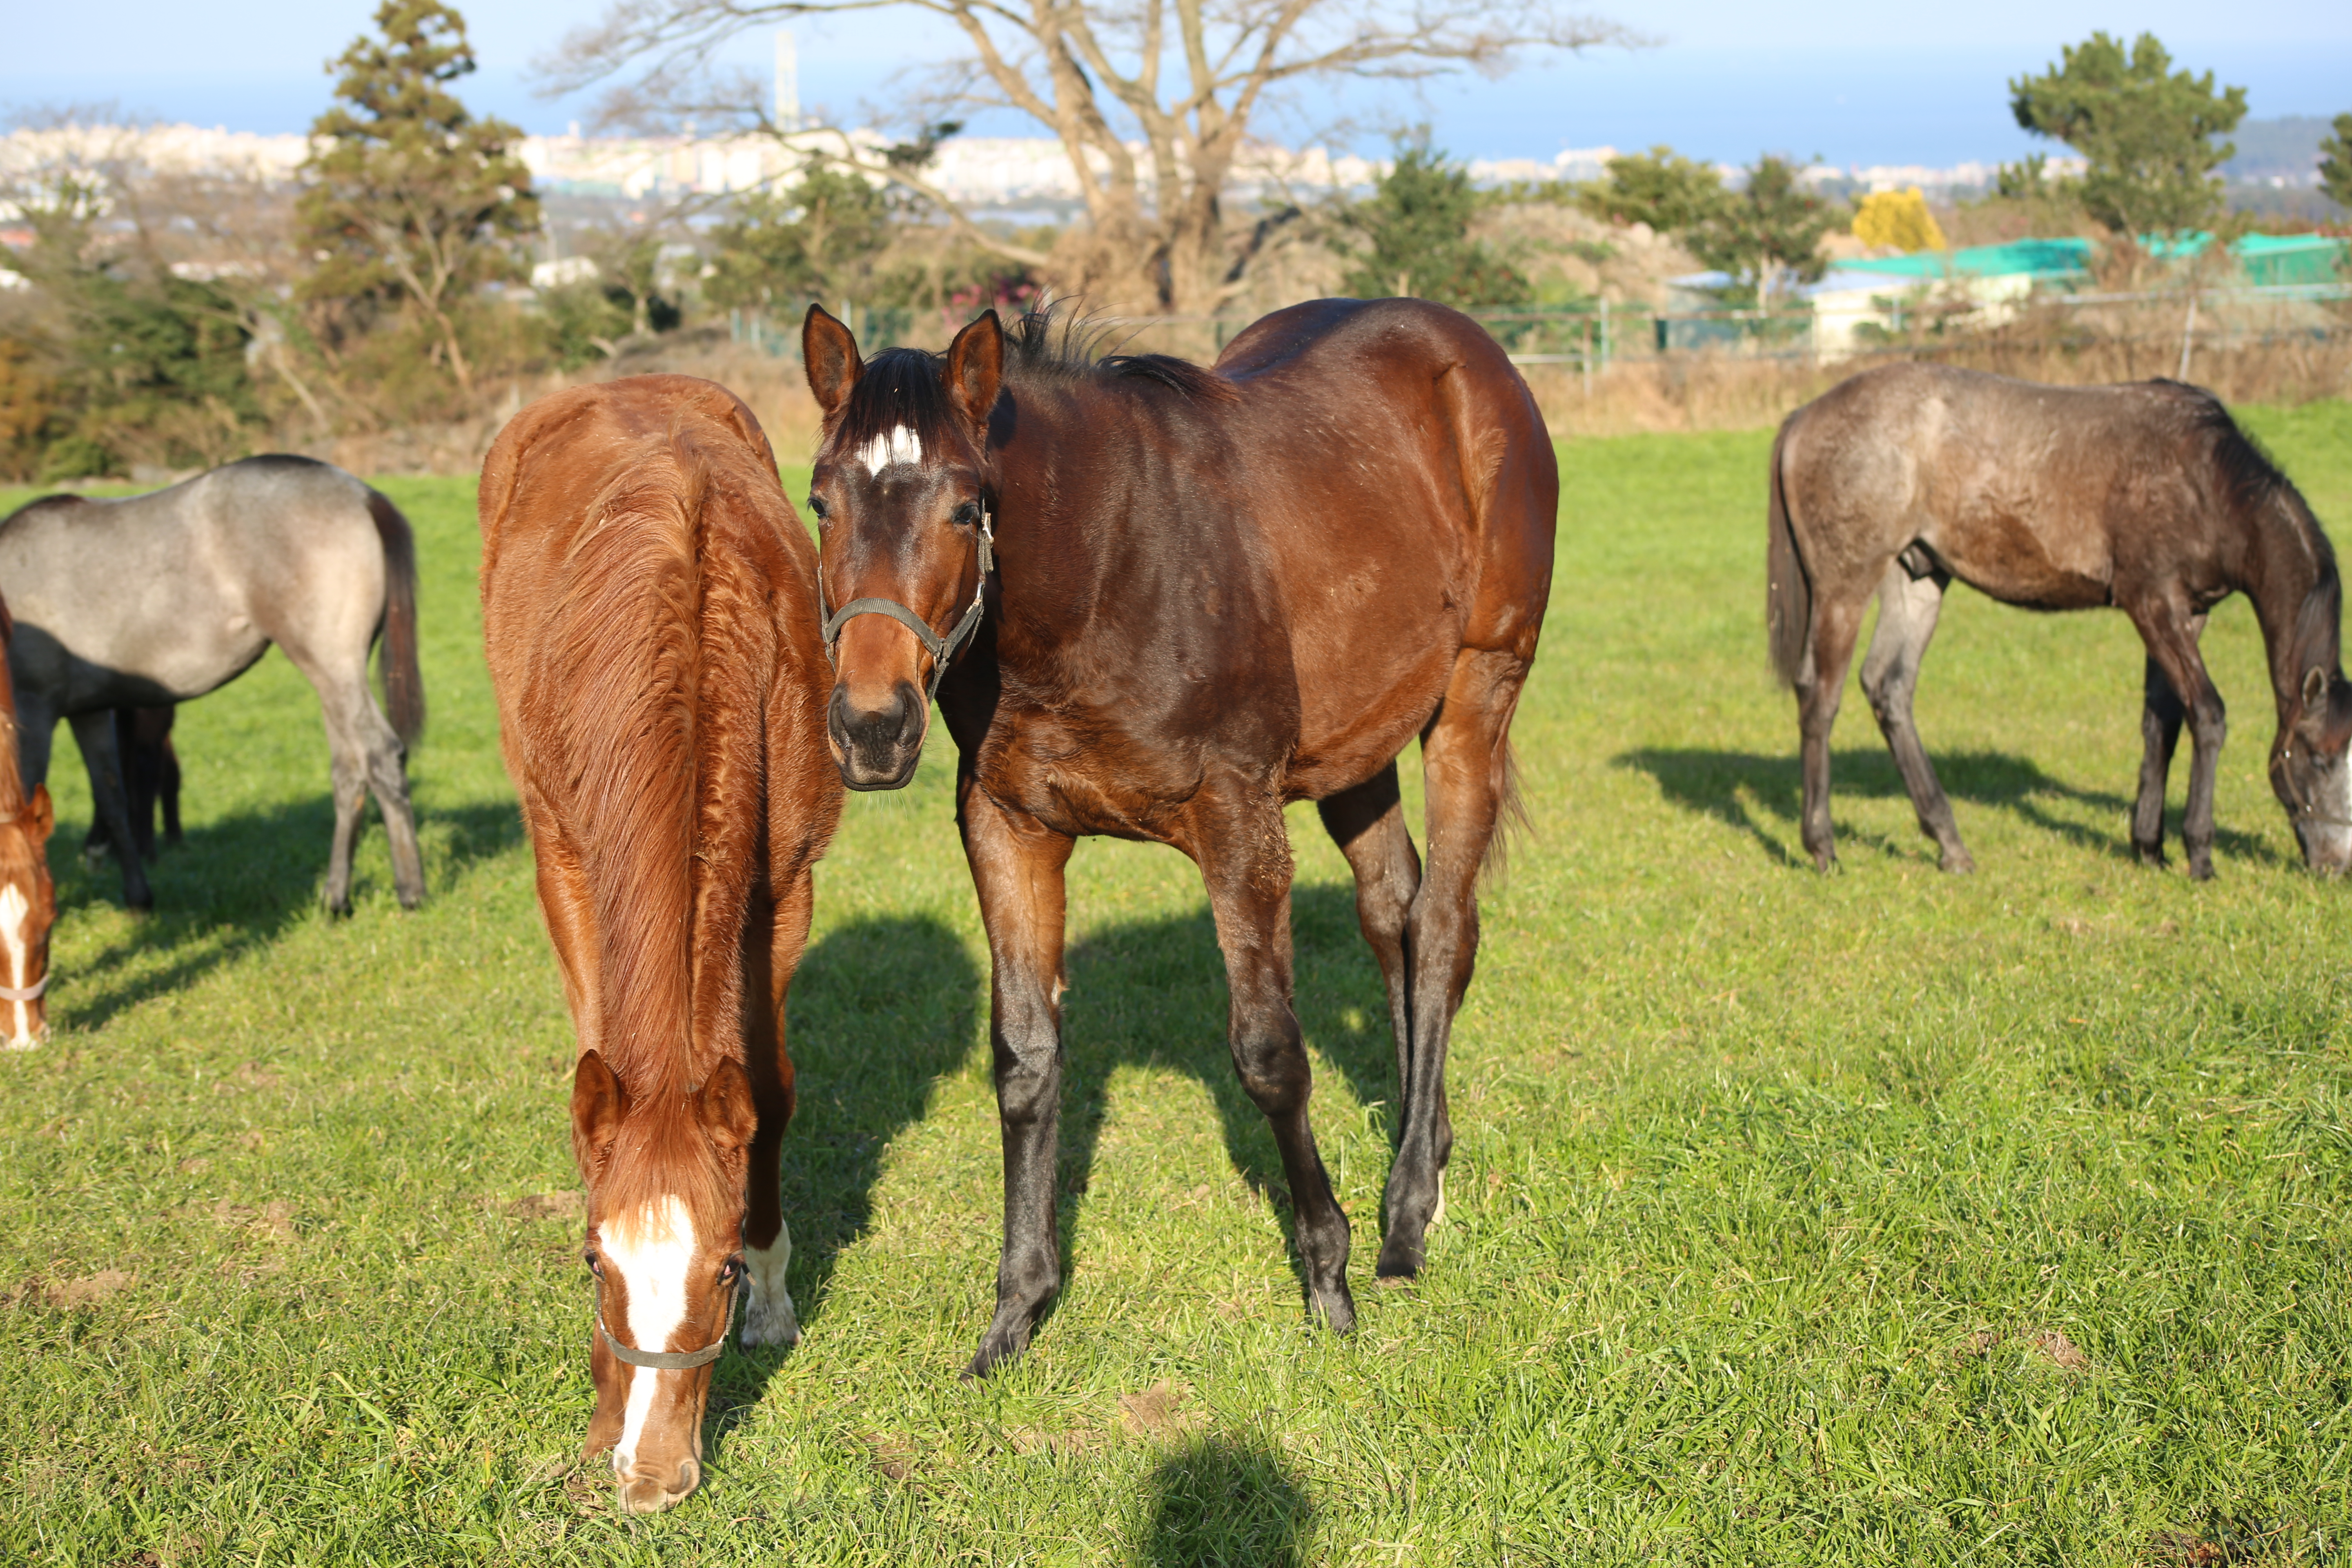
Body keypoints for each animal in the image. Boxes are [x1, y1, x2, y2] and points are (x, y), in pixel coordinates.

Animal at [2, 454, 423, 912]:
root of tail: (361, 495)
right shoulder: (90, 712)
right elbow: (112, 798)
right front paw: (138, 897)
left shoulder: (33, 709)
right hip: (333, 679)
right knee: (349, 773)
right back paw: (335, 899)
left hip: (334, 670)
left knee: (381, 757)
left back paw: (410, 892)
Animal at [477, 374, 846, 1514]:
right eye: (592, 1261)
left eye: (719, 1267)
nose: (646, 1472)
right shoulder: (565, 864)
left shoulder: (783, 886)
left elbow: (767, 1088)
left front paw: (775, 1294)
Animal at [804, 301, 1561, 1382]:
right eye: (821, 502)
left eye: (964, 506)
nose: (873, 727)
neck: (1100, 574)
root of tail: (1470, 350)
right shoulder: (1006, 826)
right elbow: (1025, 1061)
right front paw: (1014, 1314)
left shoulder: (1236, 817)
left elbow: (1269, 1052)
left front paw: (1327, 1281)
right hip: (1355, 745)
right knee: (1394, 914)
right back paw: (1428, 1142)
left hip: (1474, 697)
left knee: (1445, 930)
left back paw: (1406, 1216)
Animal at [1768, 369, 2352, 884]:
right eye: (2319, 759)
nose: (2337, 868)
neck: (2207, 481)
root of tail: (1802, 419)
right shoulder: (2153, 604)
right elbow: (2208, 716)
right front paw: (2199, 855)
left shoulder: (2187, 613)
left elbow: (2162, 723)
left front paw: (2150, 847)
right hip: (1845, 588)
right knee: (1820, 696)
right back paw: (1824, 848)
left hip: (1918, 579)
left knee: (1888, 687)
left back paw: (1950, 845)